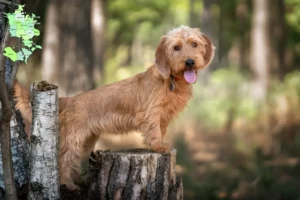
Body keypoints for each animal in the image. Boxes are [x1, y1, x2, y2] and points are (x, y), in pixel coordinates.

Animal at [14, 25, 214, 190]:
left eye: (194, 44)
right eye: (176, 47)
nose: (190, 62)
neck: (171, 80)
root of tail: (69, 99)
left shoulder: (163, 117)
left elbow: (161, 130)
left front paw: (160, 145)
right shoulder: (151, 113)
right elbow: (154, 131)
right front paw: (158, 146)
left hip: (88, 140)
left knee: (73, 161)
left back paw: (78, 180)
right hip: (74, 139)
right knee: (63, 160)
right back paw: (67, 185)